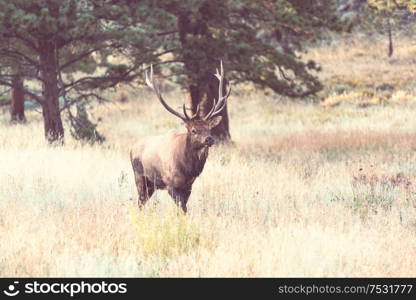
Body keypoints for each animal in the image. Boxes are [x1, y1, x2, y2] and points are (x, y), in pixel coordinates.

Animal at [129, 61, 231, 213]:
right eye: (194, 130)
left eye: (209, 129)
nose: (209, 139)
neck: (188, 170)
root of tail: (132, 148)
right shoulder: (170, 183)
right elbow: (182, 209)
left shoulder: (188, 186)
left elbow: (183, 209)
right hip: (140, 177)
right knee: (140, 203)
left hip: (151, 185)